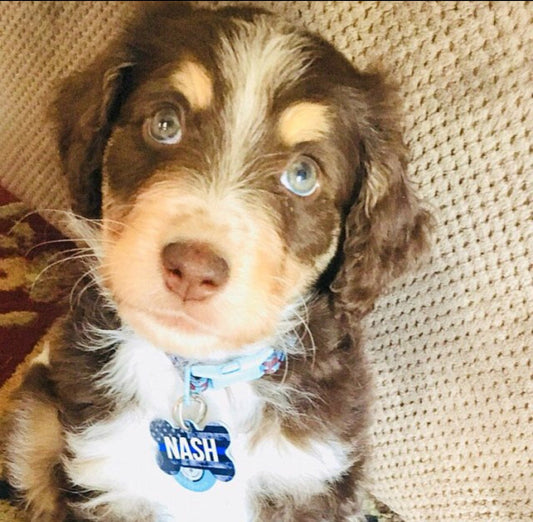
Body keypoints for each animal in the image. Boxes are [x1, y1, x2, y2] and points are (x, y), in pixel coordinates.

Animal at [2, 3, 431, 521]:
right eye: (165, 124)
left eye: (303, 175)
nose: (193, 269)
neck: (204, 380)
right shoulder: (104, 474)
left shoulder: (310, 480)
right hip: (34, 415)